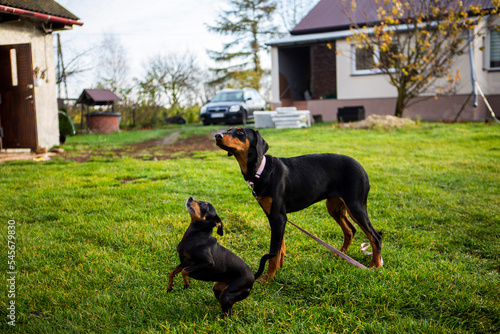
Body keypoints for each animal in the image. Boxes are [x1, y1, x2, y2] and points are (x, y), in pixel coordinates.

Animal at [215, 128, 382, 282]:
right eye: (229, 129)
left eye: (240, 133)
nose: (217, 135)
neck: (260, 171)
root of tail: (362, 168)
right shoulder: (276, 217)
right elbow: (280, 248)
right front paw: (279, 269)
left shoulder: (278, 217)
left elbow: (273, 252)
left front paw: (268, 278)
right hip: (335, 206)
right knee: (350, 230)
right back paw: (340, 254)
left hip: (356, 205)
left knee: (375, 237)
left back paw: (375, 266)